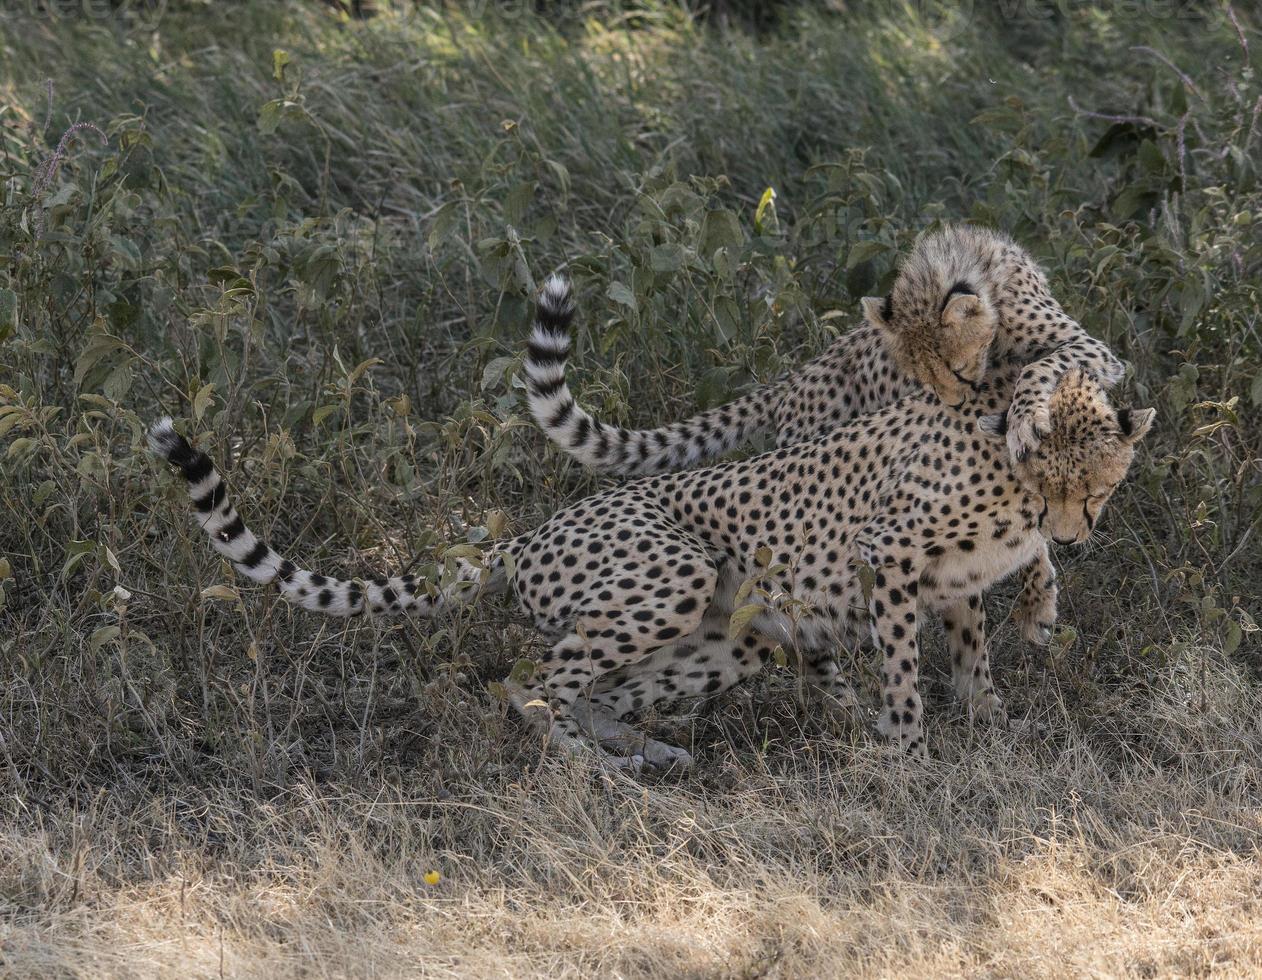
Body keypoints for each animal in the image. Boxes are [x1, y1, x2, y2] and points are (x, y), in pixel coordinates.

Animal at [150, 273, 1155, 766]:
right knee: (529, 679)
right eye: (1054, 484)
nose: (1073, 532)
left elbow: (976, 644)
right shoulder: (889, 555)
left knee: (599, 688)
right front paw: (908, 751)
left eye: (1097, 488)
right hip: (670, 575)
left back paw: (650, 752)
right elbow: (906, 668)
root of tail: (531, 530)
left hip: (728, 632)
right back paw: (599, 772)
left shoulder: (952, 578)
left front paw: (989, 713)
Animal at [522, 224, 1125, 645]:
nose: (954, 405)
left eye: (953, 370)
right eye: (921, 379)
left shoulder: (1088, 350)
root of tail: (790, 382)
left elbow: (1043, 370)